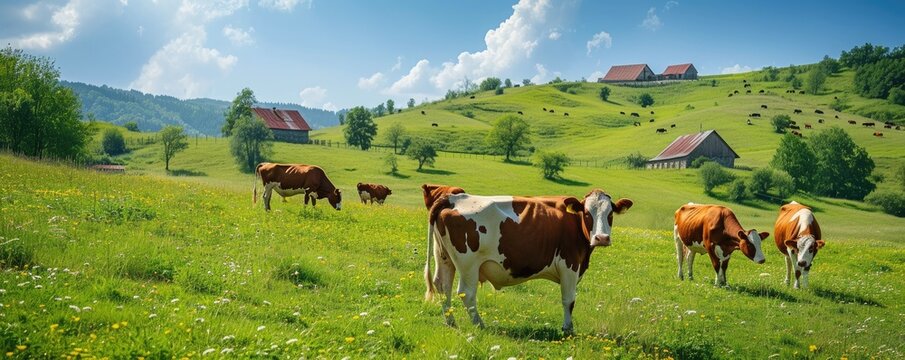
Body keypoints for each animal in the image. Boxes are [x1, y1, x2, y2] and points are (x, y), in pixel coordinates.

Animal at [426, 190, 632, 334]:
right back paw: (479, 324)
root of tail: (454, 198)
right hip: (468, 264)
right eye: (588, 214)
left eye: (610, 214)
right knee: (466, 293)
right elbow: (569, 300)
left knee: (442, 286)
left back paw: (451, 322)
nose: (601, 238)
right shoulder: (570, 265)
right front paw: (568, 328)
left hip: (444, 257)